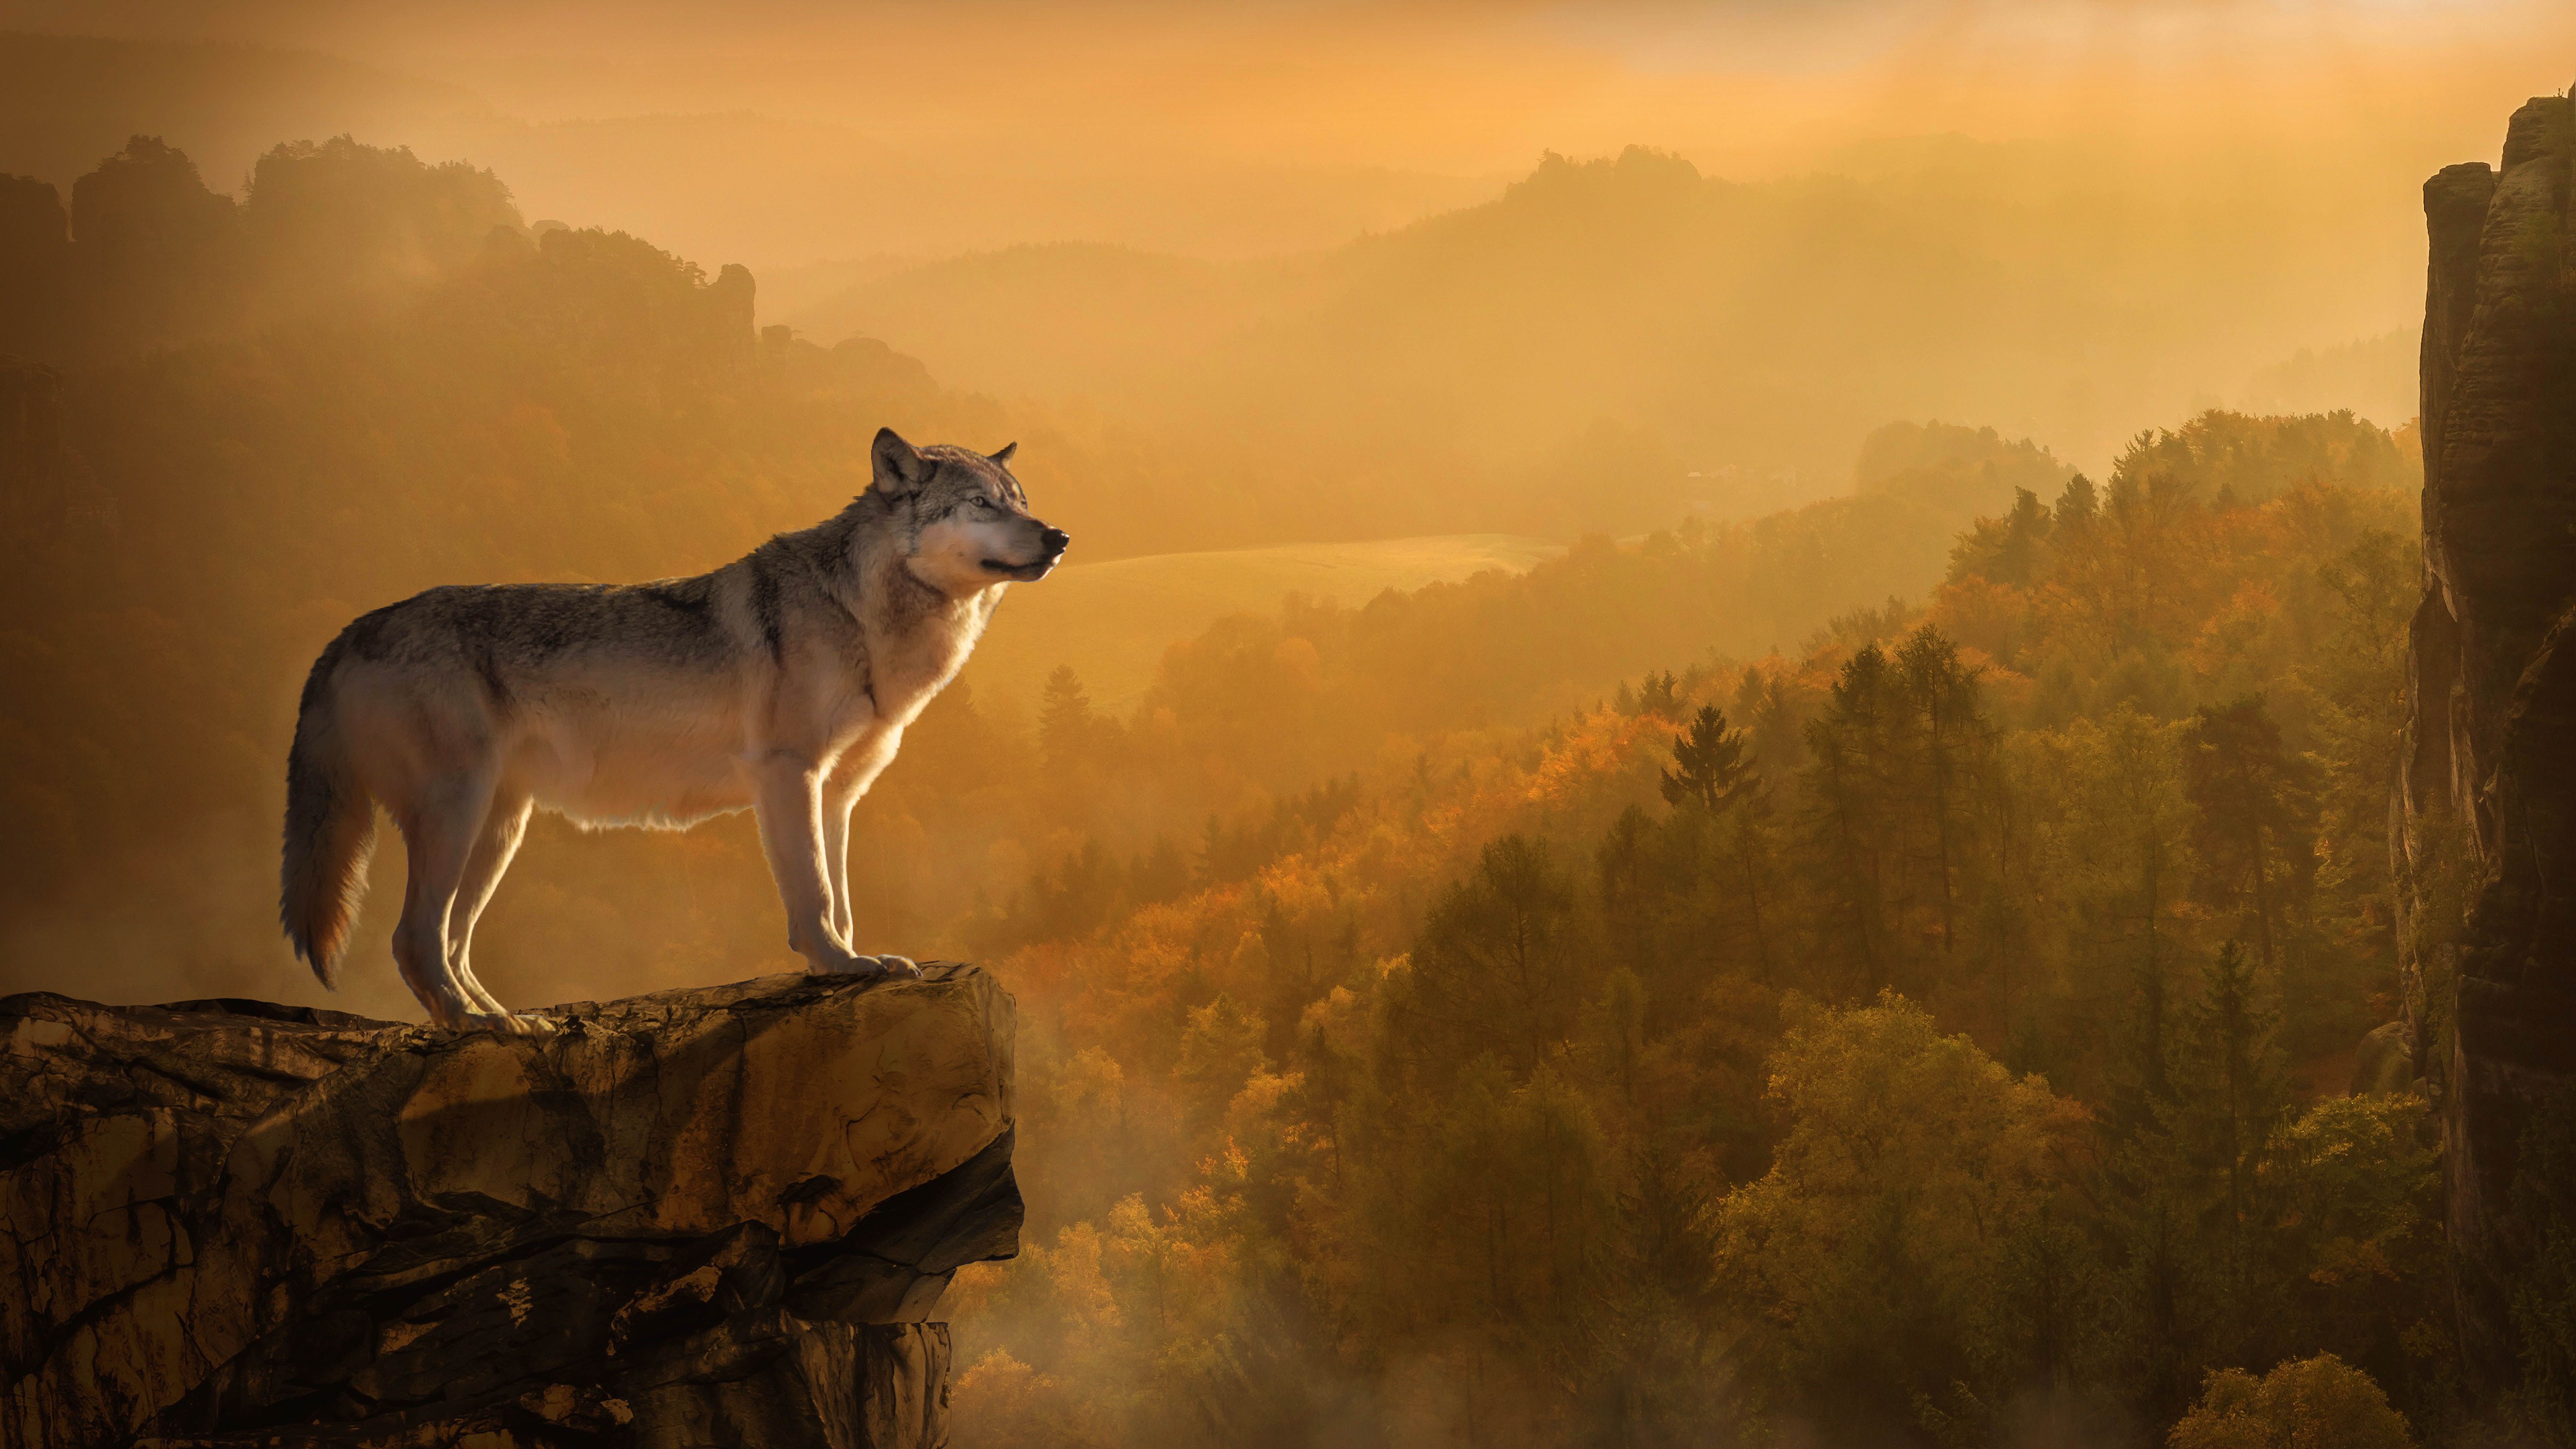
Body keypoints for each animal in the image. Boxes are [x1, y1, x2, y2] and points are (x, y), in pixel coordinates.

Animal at [279, 428, 1066, 1034]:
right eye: (981, 504)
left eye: (1022, 501)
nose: (1060, 536)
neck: (863, 614)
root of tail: (350, 631)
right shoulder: (788, 774)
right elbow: (813, 896)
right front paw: (840, 965)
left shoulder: (838, 794)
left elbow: (840, 897)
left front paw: (856, 961)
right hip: (459, 814)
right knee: (415, 939)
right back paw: (475, 1026)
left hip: (500, 829)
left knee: (454, 942)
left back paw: (508, 1022)